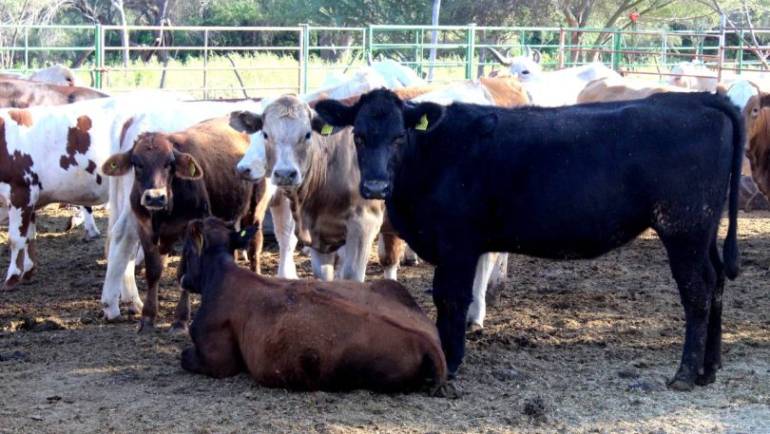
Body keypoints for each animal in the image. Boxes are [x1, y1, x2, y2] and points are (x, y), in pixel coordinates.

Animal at [100, 117, 270, 330]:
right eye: (137, 163)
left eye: (169, 163)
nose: (154, 197)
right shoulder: (144, 228)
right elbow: (153, 271)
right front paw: (148, 316)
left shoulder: (189, 229)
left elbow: (182, 272)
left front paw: (180, 320)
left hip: (255, 209)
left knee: (255, 246)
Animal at [178, 217, 448, 394]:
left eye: (187, 250)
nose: (181, 276)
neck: (221, 275)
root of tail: (428, 342)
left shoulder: (217, 360)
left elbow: (184, 356)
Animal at [314, 90, 744, 392]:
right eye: (359, 136)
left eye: (399, 136)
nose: (375, 186)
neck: (433, 156)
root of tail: (698, 98)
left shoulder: (458, 244)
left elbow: (451, 298)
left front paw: (450, 360)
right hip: (704, 229)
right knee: (717, 283)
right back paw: (709, 369)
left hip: (683, 228)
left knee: (697, 291)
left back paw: (686, 373)